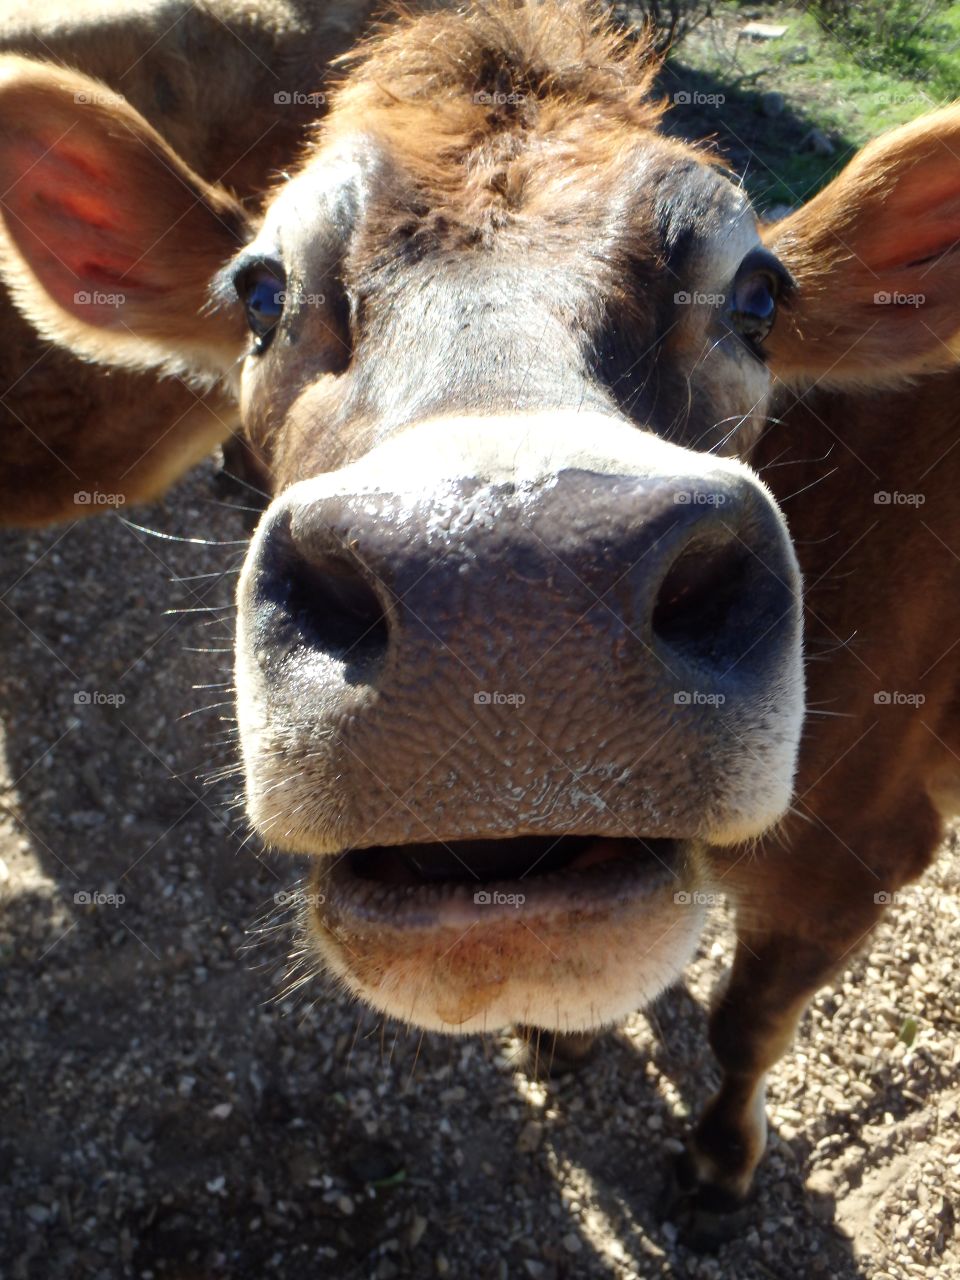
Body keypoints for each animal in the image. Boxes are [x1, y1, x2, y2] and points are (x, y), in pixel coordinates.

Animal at [1, 0, 958, 1246]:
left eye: (758, 296)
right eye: (260, 293)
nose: (511, 586)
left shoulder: (864, 838)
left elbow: (748, 1018)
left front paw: (715, 1166)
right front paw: (565, 1036)